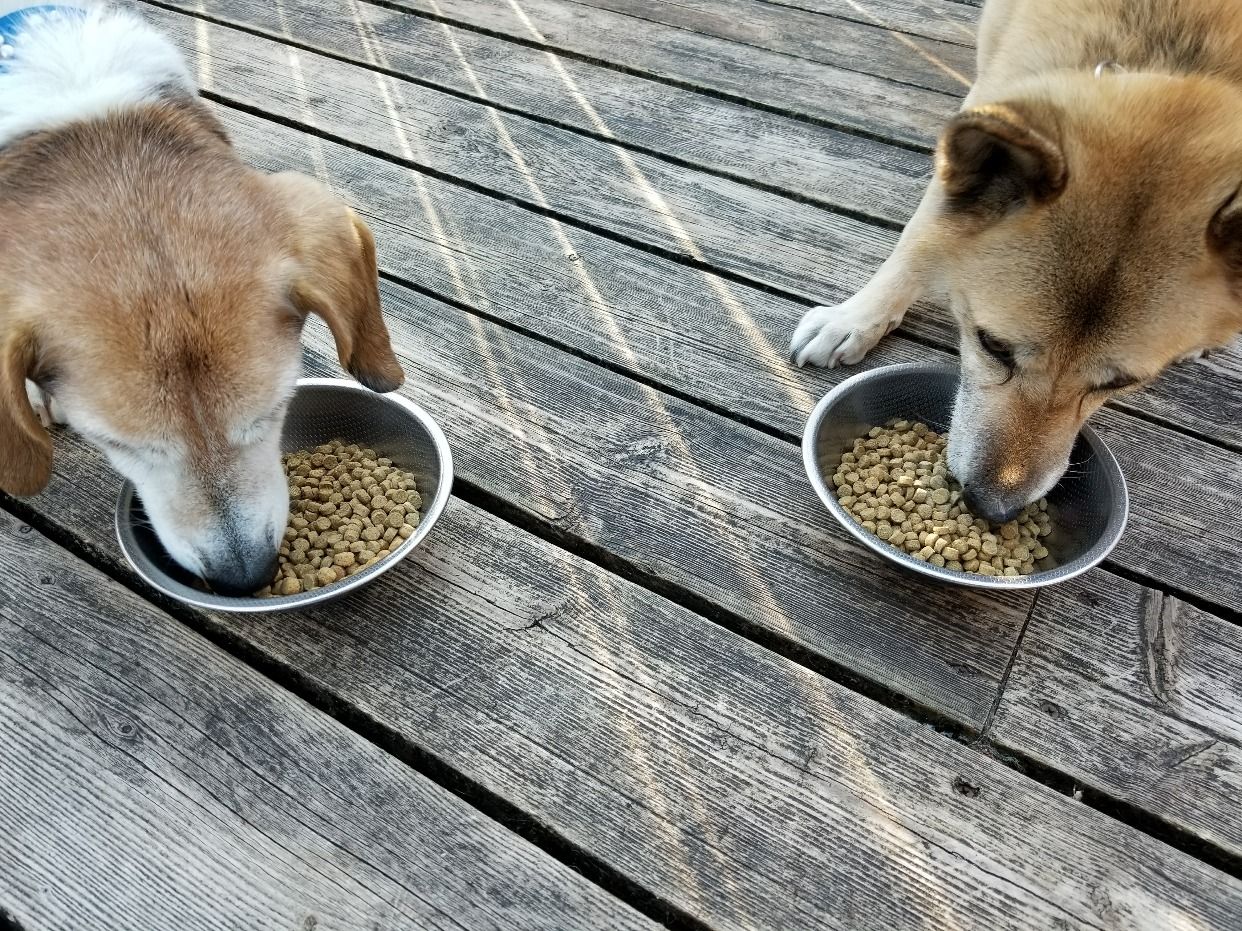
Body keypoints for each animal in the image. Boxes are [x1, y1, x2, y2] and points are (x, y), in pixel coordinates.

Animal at [790, 0, 1242, 523]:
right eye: (993, 346)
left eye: (1121, 382)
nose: (993, 508)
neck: (1166, 53)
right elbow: (919, 241)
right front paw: (852, 320)